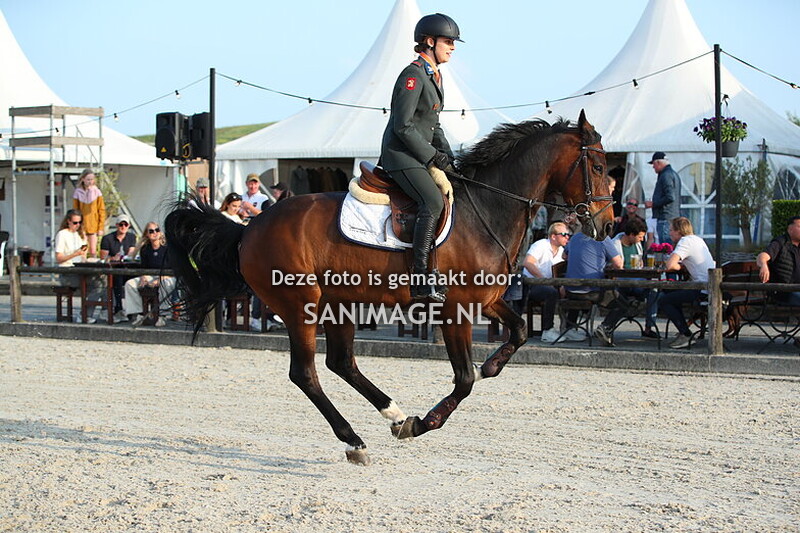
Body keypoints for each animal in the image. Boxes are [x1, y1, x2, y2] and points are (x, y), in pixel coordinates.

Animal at [164, 110, 614, 465]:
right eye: (598, 167)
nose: (607, 226)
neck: (487, 209)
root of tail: (249, 228)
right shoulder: (454, 309)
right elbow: (464, 379)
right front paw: (425, 422)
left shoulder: (485, 300)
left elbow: (518, 332)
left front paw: (491, 366)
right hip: (300, 305)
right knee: (306, 373)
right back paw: (356, 440)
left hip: (339, 304)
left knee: (341, 363)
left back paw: (392, 414)